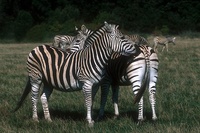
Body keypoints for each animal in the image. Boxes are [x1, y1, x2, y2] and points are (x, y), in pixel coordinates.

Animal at [13, 21, 142, 126]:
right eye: (122, 37)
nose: (138, 49)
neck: (94, 58)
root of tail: (37, 47)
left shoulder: (95, 85)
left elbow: (91, 102)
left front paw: (90, 119)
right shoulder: (87, 83)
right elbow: (89, 102)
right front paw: (89, 122)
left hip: (48, 81)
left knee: (43, 98)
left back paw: (48, 120)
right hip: (36, 78)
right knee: (34, 97)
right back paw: (35, 119)